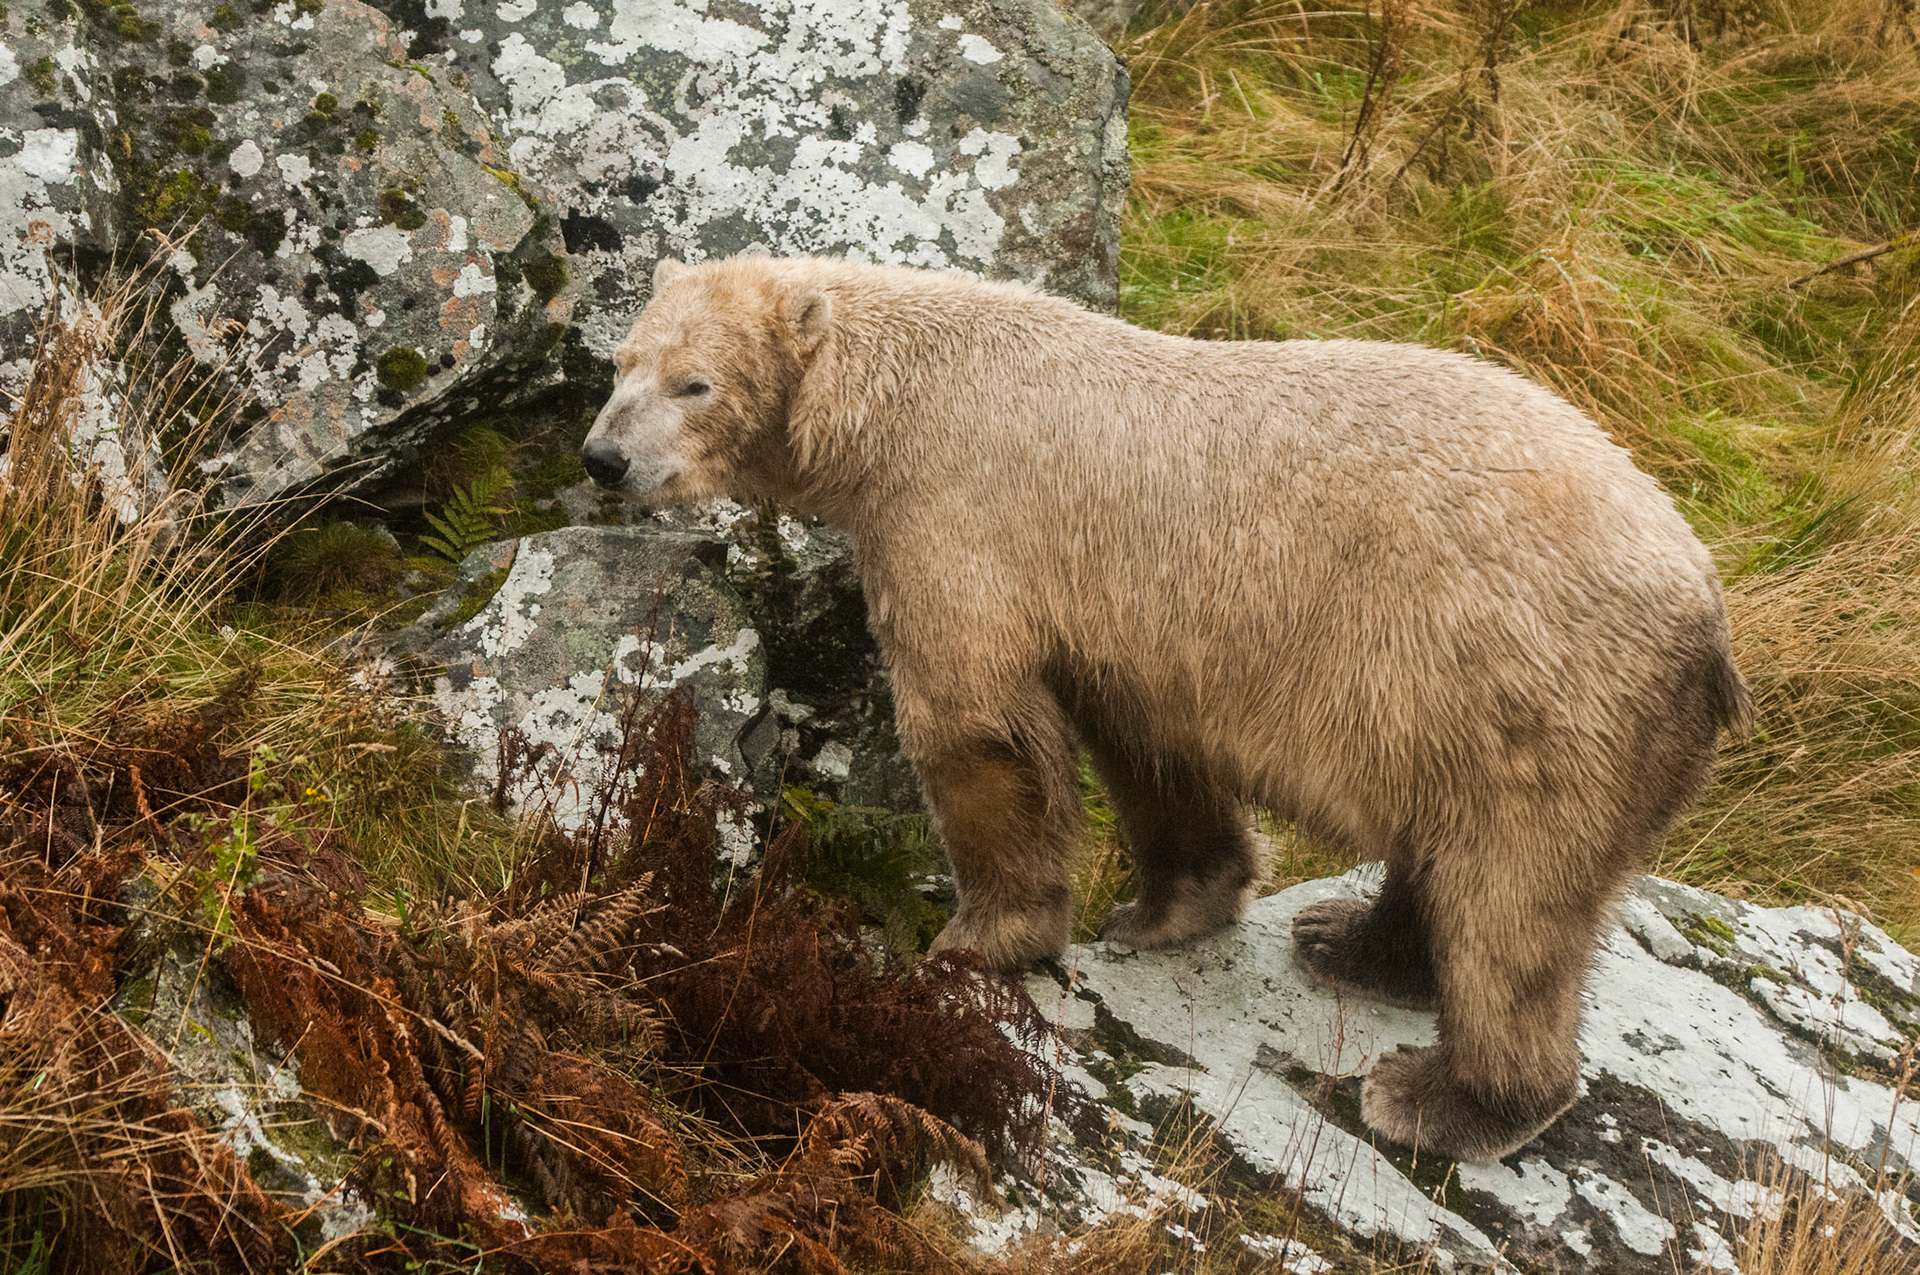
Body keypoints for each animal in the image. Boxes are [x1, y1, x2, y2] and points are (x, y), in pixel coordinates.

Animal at [580, 253, 1750, 1163]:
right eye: (618, 363)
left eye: (693, 382)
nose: (602, 457)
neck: (903, 399)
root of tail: (1708, 616)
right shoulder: (1129, 621)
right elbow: (1148, 747)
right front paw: (1166, 908)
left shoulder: (954, 516)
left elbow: (973, 725)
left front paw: (974, 939)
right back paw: (1347, 939)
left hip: (1534, 698)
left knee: (1514, 900)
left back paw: (1438, 1097)